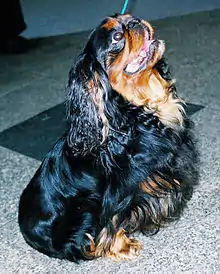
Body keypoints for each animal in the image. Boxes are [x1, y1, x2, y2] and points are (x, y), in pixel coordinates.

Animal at [18, 13, 198, 262]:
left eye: (129, 19)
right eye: (117, 37)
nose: (134, 22)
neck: (137, 111)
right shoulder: (117, 192)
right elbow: (113, 219)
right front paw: (121, 247)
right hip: (83, 209)